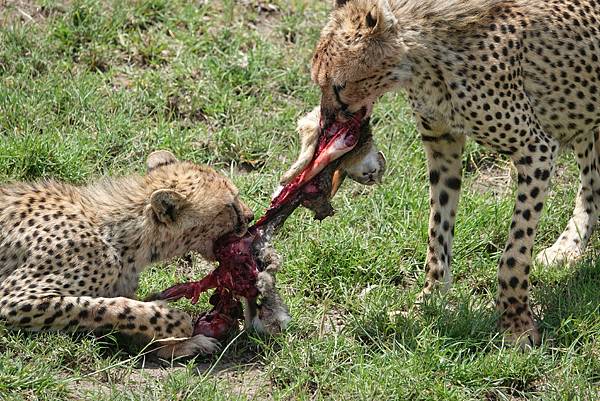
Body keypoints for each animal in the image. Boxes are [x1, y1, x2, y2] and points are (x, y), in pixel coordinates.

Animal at [0, 150, 254, 356]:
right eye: (231, 205)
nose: (251, 216)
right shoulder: (13, 299)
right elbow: (109, 306)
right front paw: (178, 322)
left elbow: (131, 319)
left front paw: (181, 344)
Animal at [286, 0, 600, 344]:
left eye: (340, 85)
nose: (327, 122)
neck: (423, 55)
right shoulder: (442, 144)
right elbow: (438, 233)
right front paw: (429, 303)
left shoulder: (536, 150)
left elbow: (514, 252)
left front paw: (515, 323)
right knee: (592, 181)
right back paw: (567, 248)